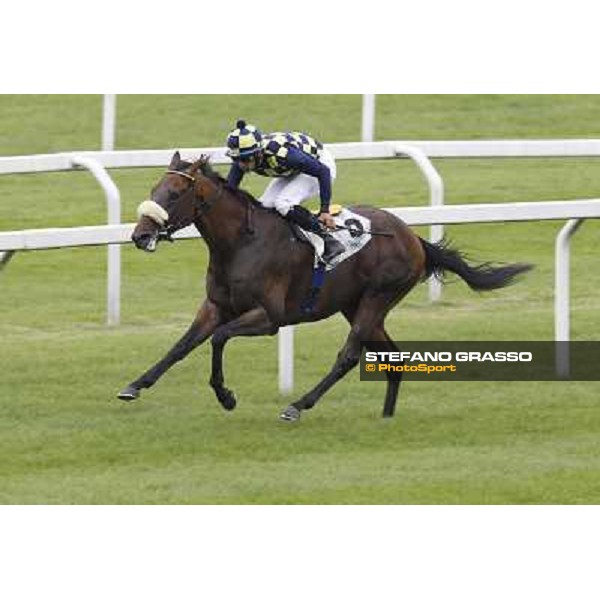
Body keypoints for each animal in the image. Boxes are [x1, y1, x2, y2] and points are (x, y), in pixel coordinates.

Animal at [117, 154, 528, 422]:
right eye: (154, 187)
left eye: (173, 194)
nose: (140, 235)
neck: (240, 243)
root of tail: (413, 237)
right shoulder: (215, 305)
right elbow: (182, 345)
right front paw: (135, 385)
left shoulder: (269, 318)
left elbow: (218, 338)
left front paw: (226, 396)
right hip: (355, 304)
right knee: (392, 357)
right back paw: (386, 415)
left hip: (378, 297)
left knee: (348, 355)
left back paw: (298, 405)